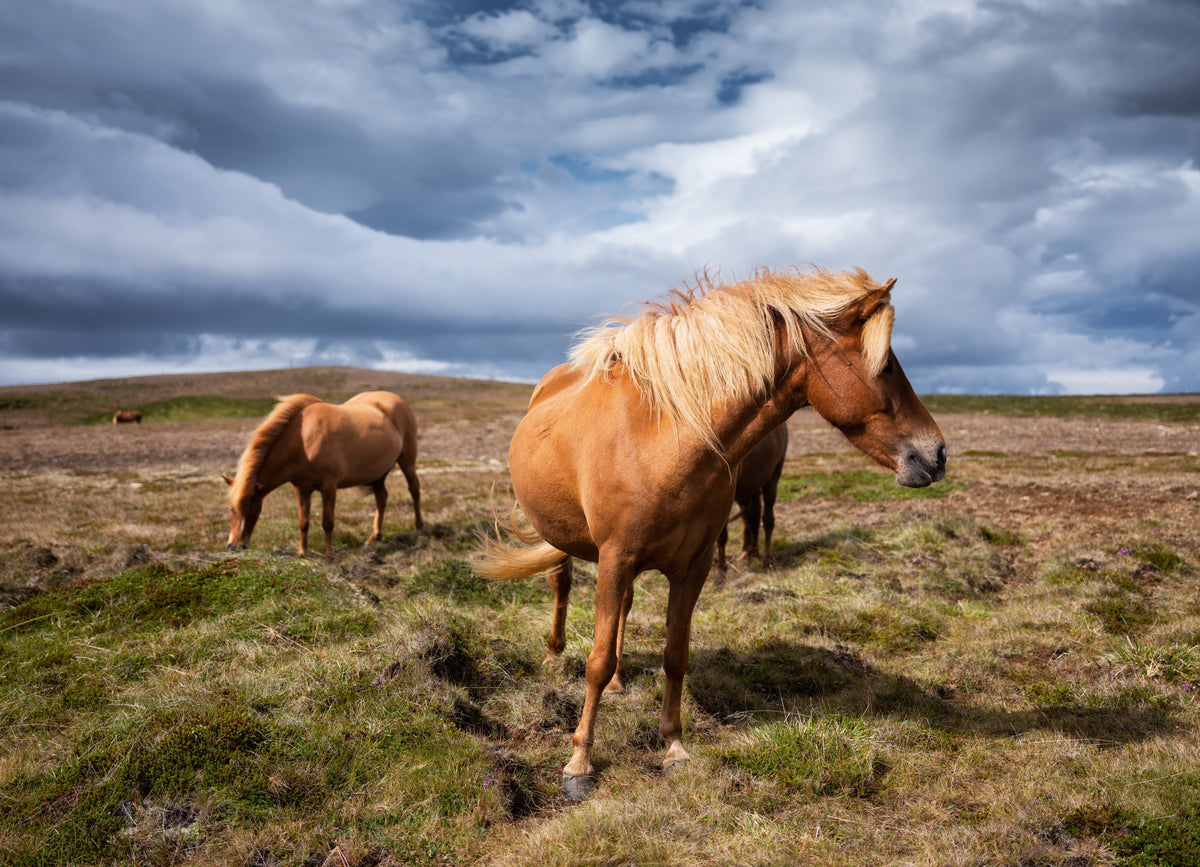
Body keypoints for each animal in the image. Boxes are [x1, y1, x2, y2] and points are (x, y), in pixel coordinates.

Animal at [222, 391, 423, 558]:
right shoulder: (301, 488)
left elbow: (328, 522)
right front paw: (302, 553)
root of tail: (396, 400)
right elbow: (303, 521)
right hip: (377, 473)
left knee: (414, 490)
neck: (302, 441)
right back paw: (374, 538)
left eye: (250, 508)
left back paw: (419, 528)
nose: (233, 546)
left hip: (407, 460)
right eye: (231, 509)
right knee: (381, 497)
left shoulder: (329, 486)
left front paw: (329, 557)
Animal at [714, 422, 788, 581]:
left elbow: (722, 536)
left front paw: (721, 573)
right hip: (750, 488)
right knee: (751, 517)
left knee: (767, 519)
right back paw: (749, 554)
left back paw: (767, 560)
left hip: (772, 479)